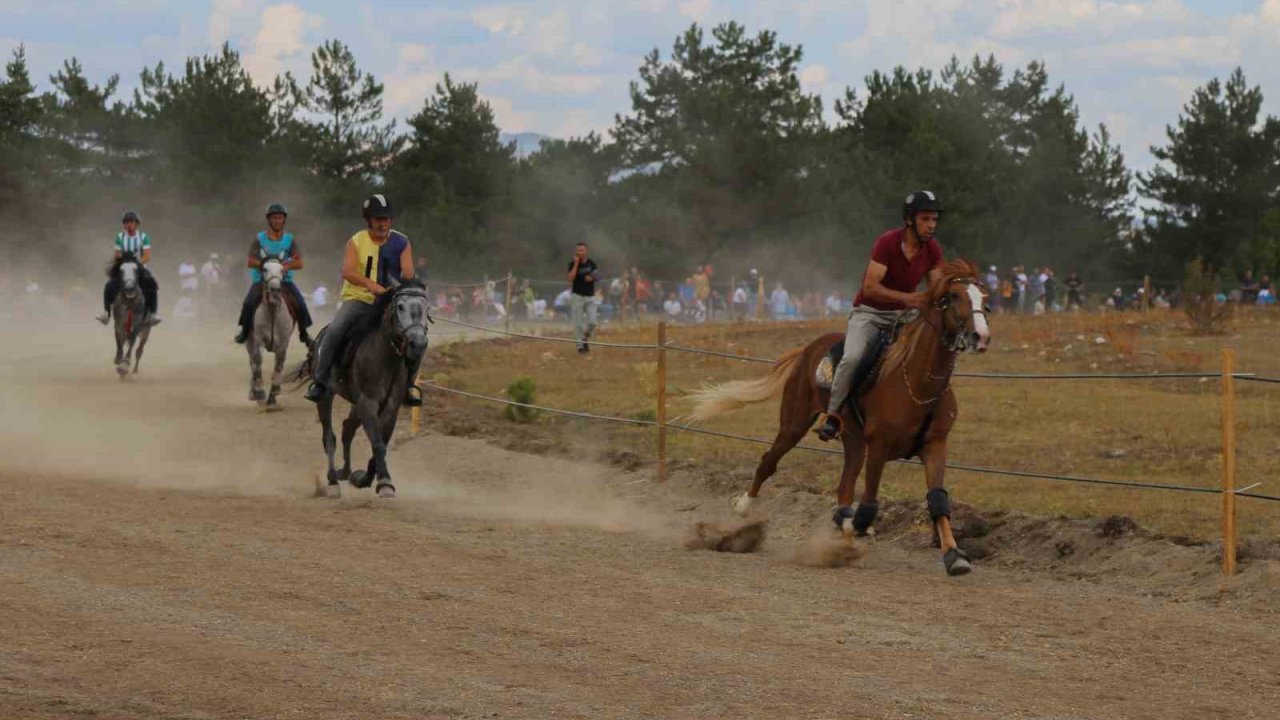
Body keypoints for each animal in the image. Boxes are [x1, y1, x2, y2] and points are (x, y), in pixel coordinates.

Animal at [245, 256, 295, 409]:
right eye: (264, 269)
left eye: (282, 270)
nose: (274, 289)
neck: (272, 311)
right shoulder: (257, 340)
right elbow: (257, 361)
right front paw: (260, 393)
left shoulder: (283, 343)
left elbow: (278, 366)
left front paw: (273, 397)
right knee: (252, 363)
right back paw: (253, 392)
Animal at [293, 278, 430, 497]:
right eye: (400, 306)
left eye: (427, 308)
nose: (417, 344)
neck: (385, 357)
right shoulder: (368, 403)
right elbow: (378, 444)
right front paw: (385, 484)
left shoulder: (390, 407)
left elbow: (381, 443)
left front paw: (364, 479)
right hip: (327, 397)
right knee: (329, 437)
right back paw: (333, 481)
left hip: (355, 404)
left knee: (347, 429)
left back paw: (346, 472)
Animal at [691, 257, 988, 571]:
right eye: (953, 296)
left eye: (984, 298)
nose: (980, 336)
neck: (917, 383)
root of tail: (807, 350)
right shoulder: (879, 445)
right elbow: (868, 502)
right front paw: (852, 524)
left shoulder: (934, 445)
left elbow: (937, 499)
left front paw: (955, 556)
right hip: (794, 423)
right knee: (769, 462)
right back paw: (744, 508)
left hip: (853, 440)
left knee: (844, 487)